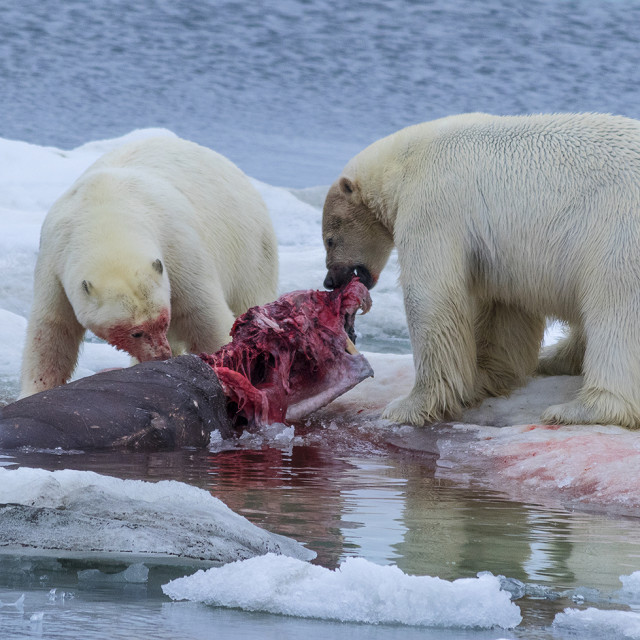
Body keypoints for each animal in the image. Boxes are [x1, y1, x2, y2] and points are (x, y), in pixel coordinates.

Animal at [20, 135, 278, 398]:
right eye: (135, 332)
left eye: (163, 320)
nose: (161, 356)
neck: (106, 214)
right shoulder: (55, 258)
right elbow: (53, 328)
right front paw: (34, 391)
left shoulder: (176, 245)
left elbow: (203, 313)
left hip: (251, 249)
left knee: (250, 297)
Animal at [322, 112, 640, 430]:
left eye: (329, 239)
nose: (329, 281)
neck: (403, 162)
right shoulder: (499, 250)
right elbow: (502, 308)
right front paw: (484, 376)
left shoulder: (432, 206)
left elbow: (431, 299)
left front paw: (410, 405)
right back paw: (554, 359)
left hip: (618, 234)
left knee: (615, 309)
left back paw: (583, 408)